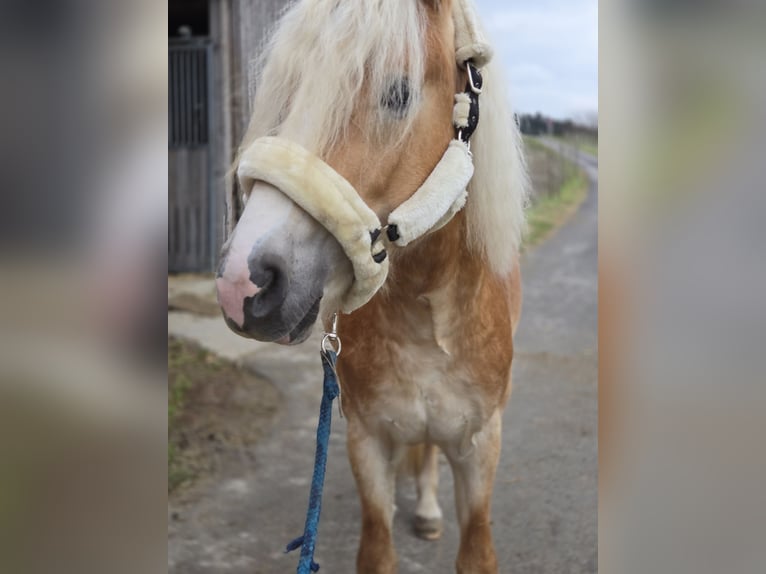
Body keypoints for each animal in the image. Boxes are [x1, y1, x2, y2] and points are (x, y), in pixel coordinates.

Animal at [214, 0, 528, 572]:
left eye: (398, 94)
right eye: (288, 89)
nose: (243, 283)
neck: (427, 314)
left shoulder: (479, 449)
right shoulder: (368, 443)